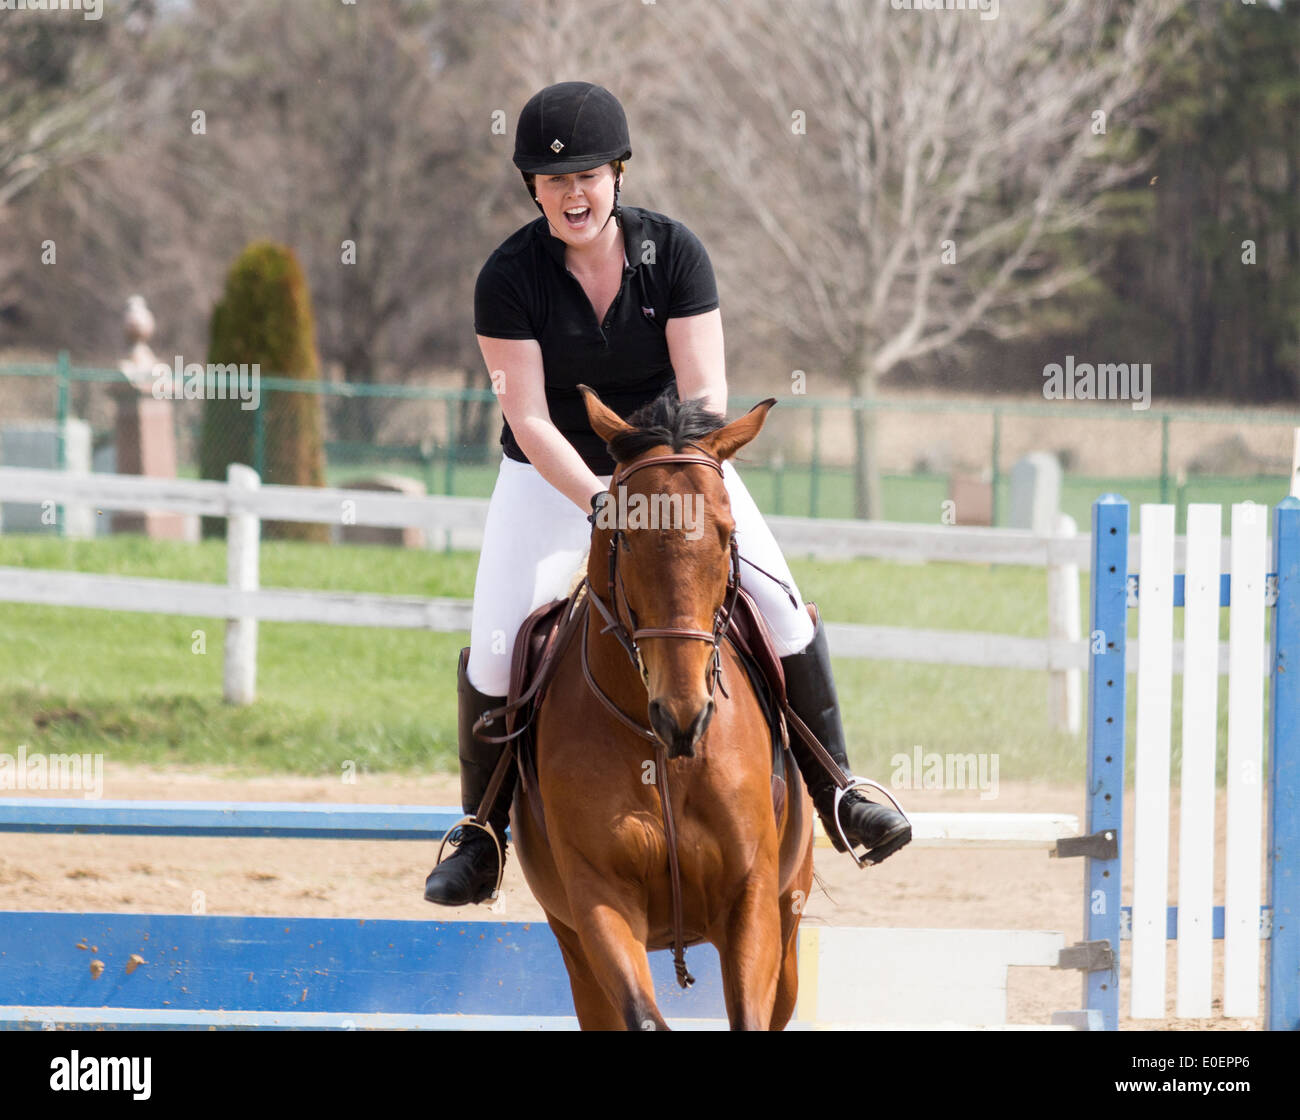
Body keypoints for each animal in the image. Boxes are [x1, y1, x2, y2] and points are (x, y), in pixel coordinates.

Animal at [506, 387, 811, 1034]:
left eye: (726, 534)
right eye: (626, 536)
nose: (683, 716)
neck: (659, 749)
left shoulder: (752, 896)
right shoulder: (597, 898)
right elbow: (643, 1016)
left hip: (790, 922)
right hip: (572, 945)